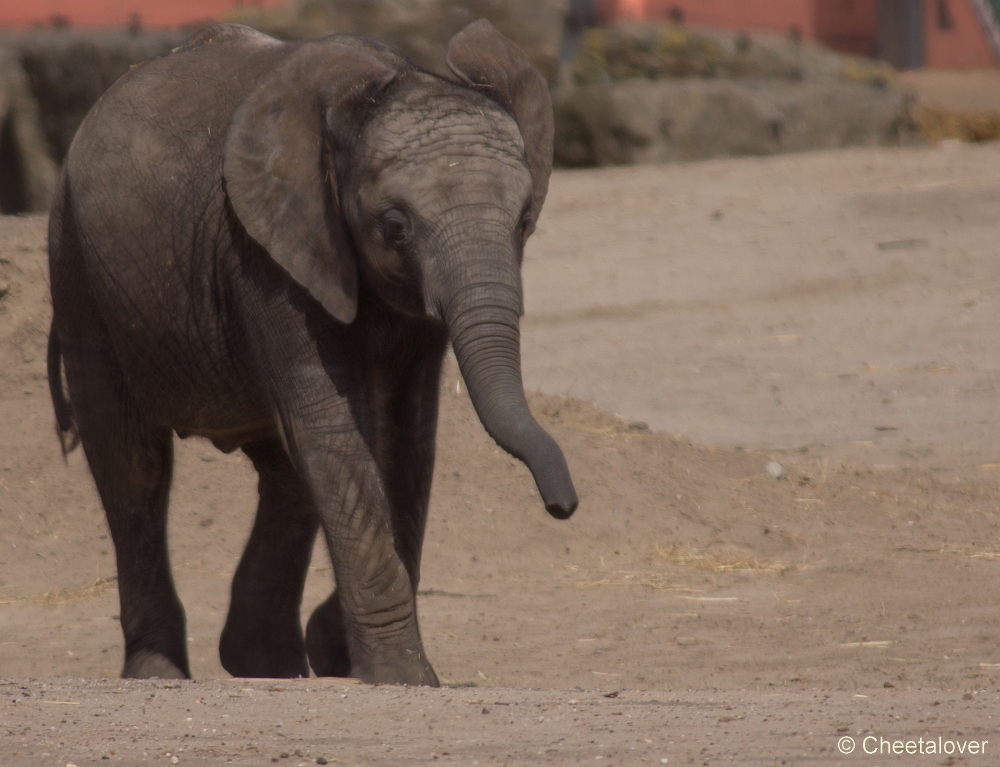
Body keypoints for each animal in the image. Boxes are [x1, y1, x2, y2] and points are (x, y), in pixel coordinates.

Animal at [47, 21, 580, 688]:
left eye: (525, 220)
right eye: (395, 225)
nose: (563, 506)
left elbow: (407, 434)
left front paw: (341, 653)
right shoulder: (268, 253)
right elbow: (334, 426)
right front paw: (402, 678)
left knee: (284, 473)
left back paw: (268, 667)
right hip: (78, 271)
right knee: (132, 464)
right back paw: (159, 675)